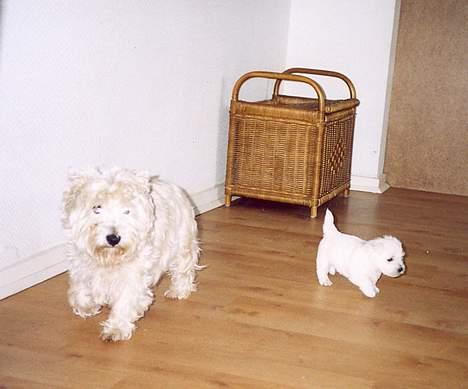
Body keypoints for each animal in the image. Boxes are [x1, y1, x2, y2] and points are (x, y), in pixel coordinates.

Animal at [62, 167, 201, 340]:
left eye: (127, 211)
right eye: (96, 208)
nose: (113, 238)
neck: (108, 259)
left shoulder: (132, 276)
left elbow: (125, 302)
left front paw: (116, 329)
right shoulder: (81, 265)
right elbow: (80, 289)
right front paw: (87, 307)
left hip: (182, 242)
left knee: (183, 268)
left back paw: (178, 291)